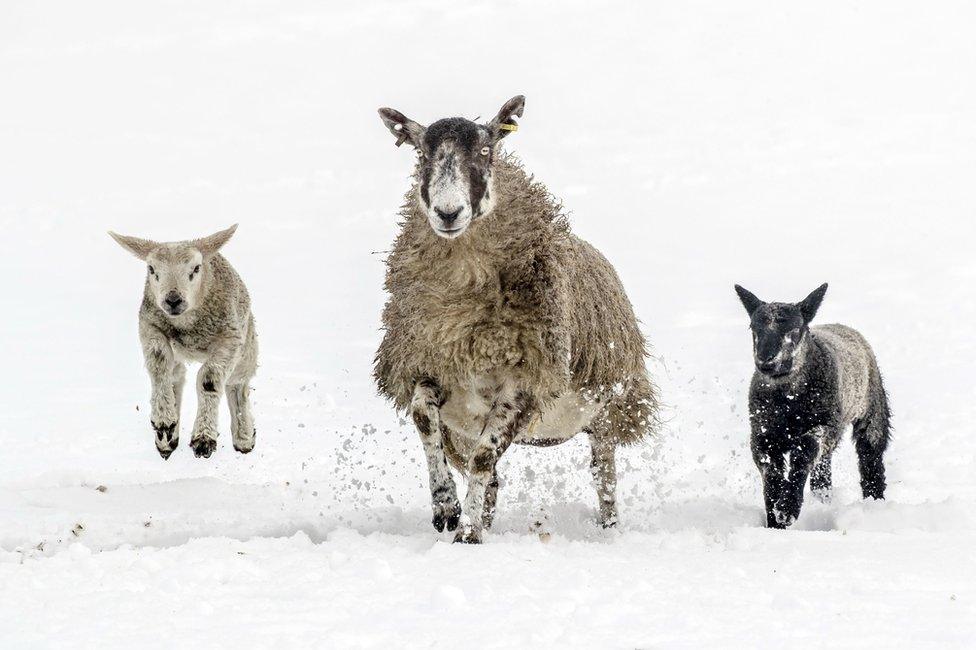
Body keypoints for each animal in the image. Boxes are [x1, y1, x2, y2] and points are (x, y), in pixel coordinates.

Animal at [109, 225, 260, 458]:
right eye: (151, 269)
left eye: (196, 268)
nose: (173, 300)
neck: (188, 327)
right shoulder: (150, 327)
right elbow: (159, 367)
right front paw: (163, 421)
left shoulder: (231, 338)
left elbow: (209, 380)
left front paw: (203, 438)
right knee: (176, 376)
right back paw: (168, 437)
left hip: (247, 346)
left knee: (237, 385)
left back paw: (243, 436)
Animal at [378, 95, 660, 540]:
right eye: (422, 153)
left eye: (485, 150)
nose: (447, 212)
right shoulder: (431, 364)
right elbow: (425, 418)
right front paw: (447, 508)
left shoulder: (526, 384)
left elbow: (483, 457)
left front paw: (468, 532)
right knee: (492, 478)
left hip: (607, 412)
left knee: (603, 476)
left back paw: (608, 528)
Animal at [732, 284, 892, 528]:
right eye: (753, 327)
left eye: (795, 329)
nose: (766, 360)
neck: (788, 401)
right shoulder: (762, 433)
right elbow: (770, 470)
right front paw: (775, 519)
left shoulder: (822, 426)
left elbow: (803, 456)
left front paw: (787, 508)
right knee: (823, 469)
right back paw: (822, 499)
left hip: (872, 410)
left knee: (870, 457)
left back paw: (874, 502)